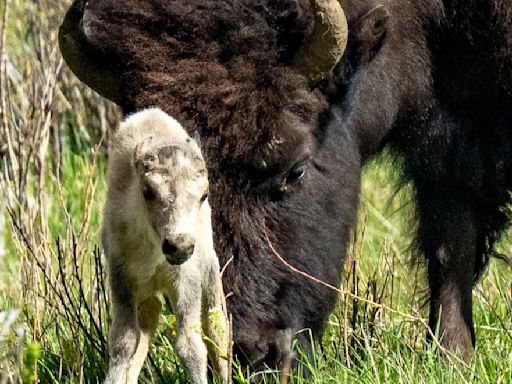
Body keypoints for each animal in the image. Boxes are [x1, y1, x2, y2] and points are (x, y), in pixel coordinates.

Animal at [102, 107, 228, 384]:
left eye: (204, 195)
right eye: (148, 191)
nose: (179, 246)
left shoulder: (186, 279)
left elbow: (190, 345)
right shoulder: (121, 276)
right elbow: (124, 340)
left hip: (210, 269)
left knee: (217, 327)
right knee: (150, 314)